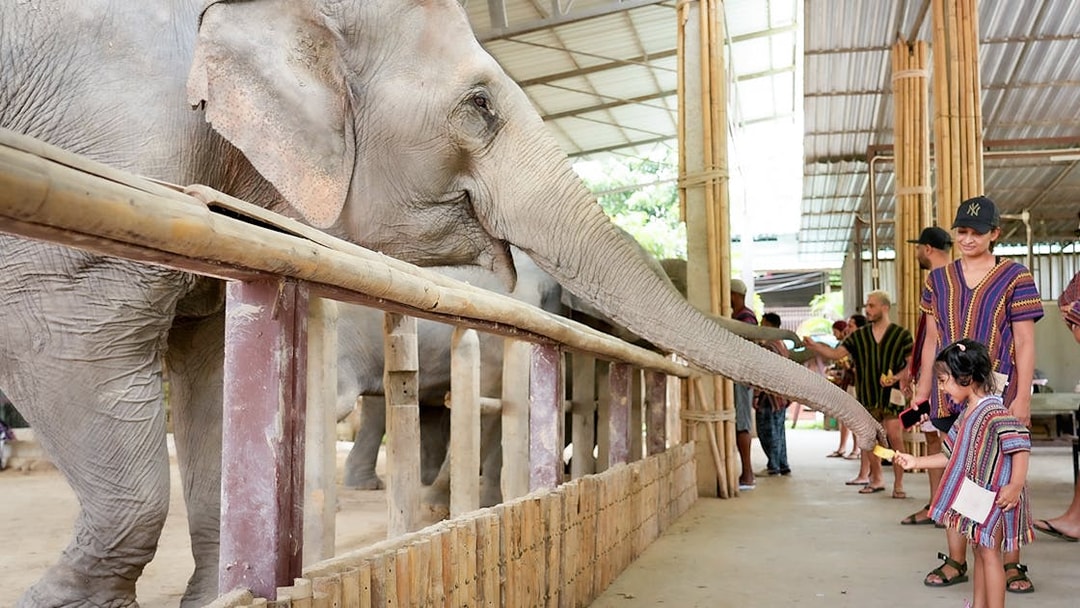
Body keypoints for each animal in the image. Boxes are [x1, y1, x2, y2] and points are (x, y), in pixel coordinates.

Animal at [0, 0, 879, 605]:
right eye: (479, 107)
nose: (876, 432)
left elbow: (213, 372)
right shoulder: (109, 134)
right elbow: (73, 338)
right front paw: (58, 602)